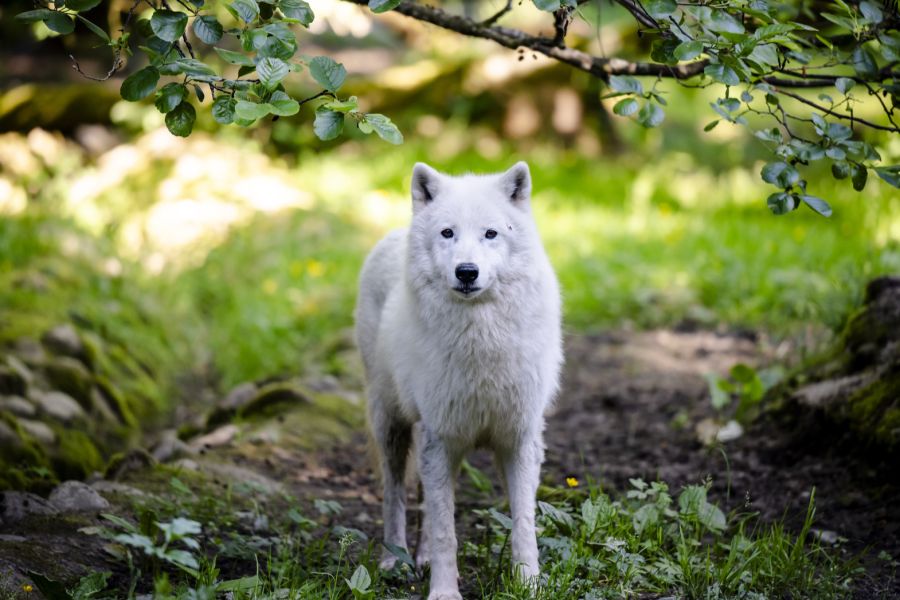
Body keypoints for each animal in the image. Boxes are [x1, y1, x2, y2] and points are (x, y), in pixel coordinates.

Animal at [354, 161, 563, 600]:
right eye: (448, 233)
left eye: (491, 233)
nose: (467, 272)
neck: (482, 343)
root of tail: (395, 232)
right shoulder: (443, 437)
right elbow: (445, 531)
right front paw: (444, 592)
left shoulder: (519, 440)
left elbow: (523, 524)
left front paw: (528, 584)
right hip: (392, 426)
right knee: (395, 494)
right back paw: (394, 560)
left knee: (423, 498)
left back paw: (419, 558)